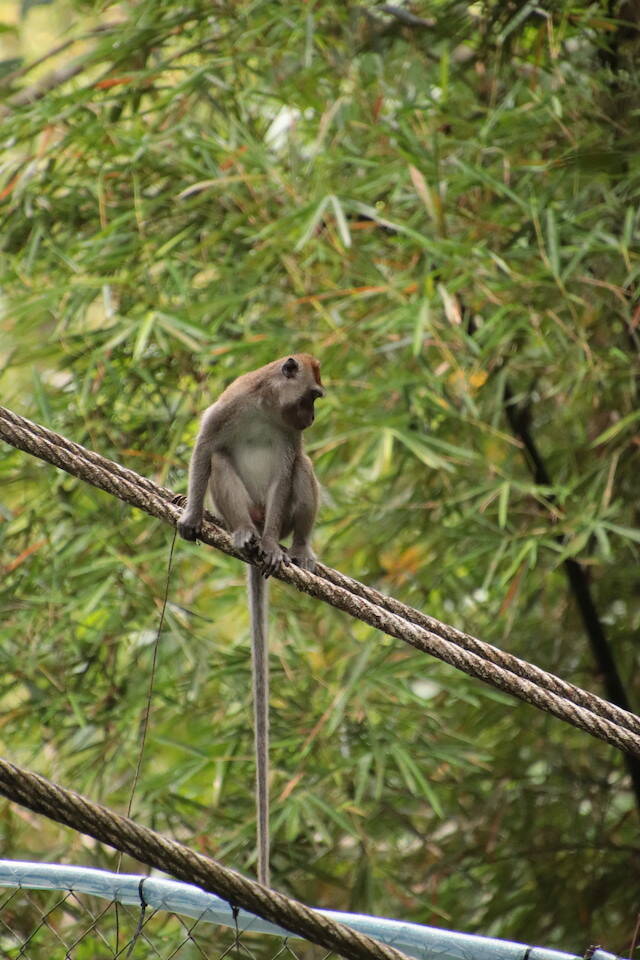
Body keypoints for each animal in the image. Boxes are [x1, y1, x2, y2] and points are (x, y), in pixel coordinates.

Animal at [176, 352, 322, 884]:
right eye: (311, 397)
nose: (312, 418)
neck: (267, 406)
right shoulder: (231, 403)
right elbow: (206, 444)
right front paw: (191, 515)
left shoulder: (289, 437)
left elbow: (288, 470)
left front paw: (282, 548)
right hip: (244, 507)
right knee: (220, 461)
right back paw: (241, 533)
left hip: (276, 511)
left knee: (302, 472)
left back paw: (291, 548)